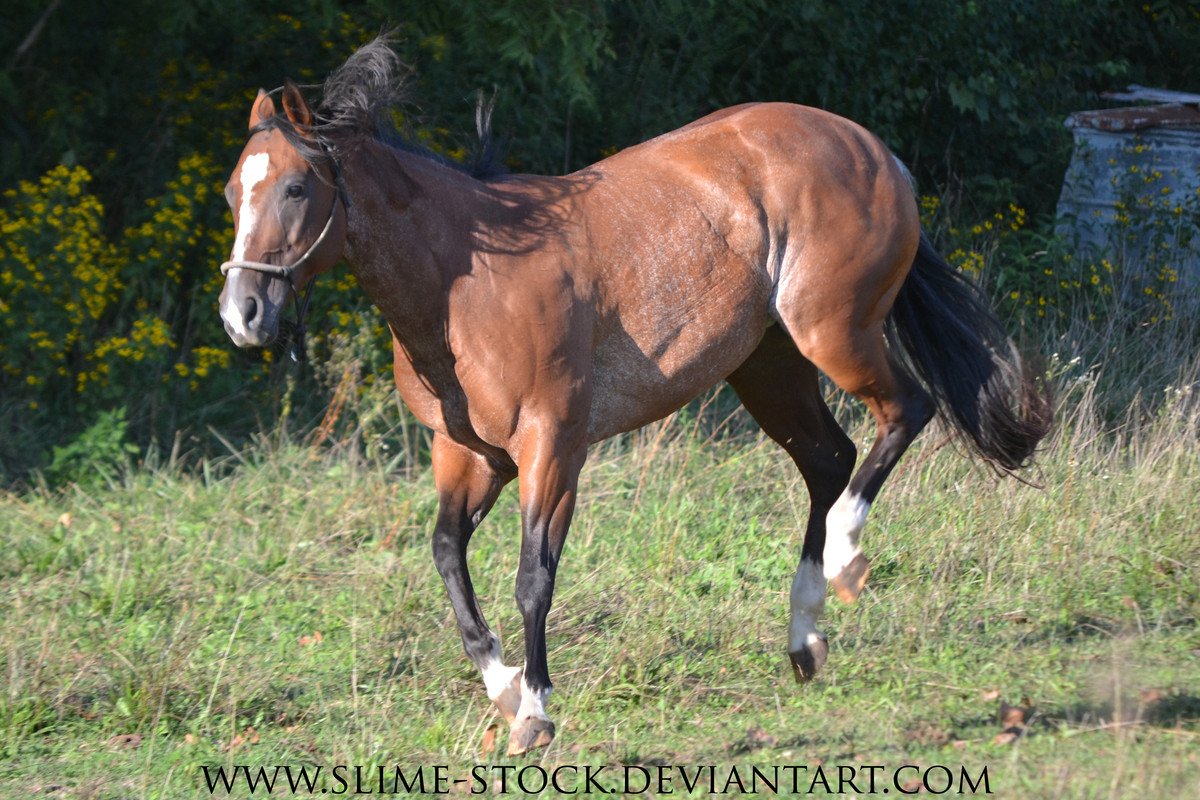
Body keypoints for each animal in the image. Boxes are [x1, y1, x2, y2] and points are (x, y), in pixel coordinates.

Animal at [216, 37, 1051, 758]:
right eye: (232, 192)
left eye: (296, 186)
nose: (242, 315)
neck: (469, 280)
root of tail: (879, 153)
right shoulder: (467, 454)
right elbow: (448, 557)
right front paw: (505, 689)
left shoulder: (553, 447)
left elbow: (533, 577)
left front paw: (536, 713)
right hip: (768, 367)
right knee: (829, 458)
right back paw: (804, 637)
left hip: (834, 333)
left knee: (904, 414)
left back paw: (846, 561)